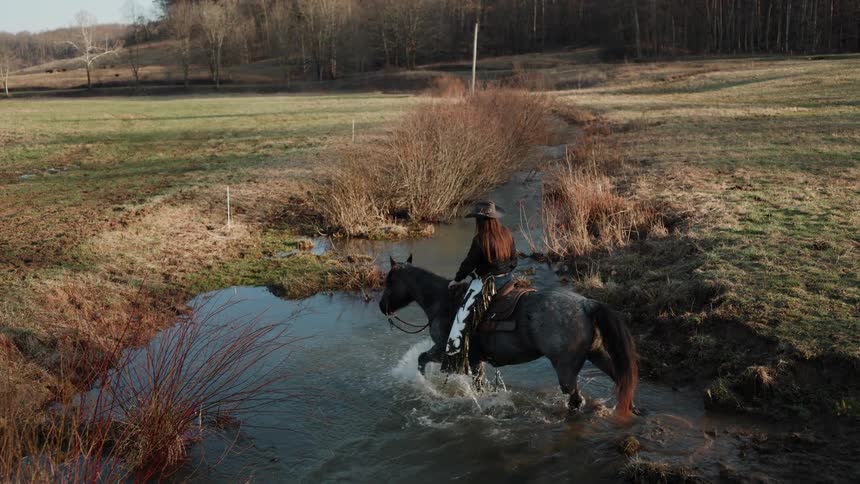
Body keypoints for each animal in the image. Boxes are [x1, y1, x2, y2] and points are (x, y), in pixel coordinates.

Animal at [378, 255, 638, 418]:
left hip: (565, 368)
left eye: (388, 281)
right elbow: (479, 384)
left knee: (575, 399)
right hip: (597, 354)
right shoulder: (476, 359)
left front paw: (425, 386)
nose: (382, 307)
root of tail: (586, 305)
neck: (443, 301)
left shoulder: (444, 349)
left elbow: (421, 358)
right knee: (620, 379)